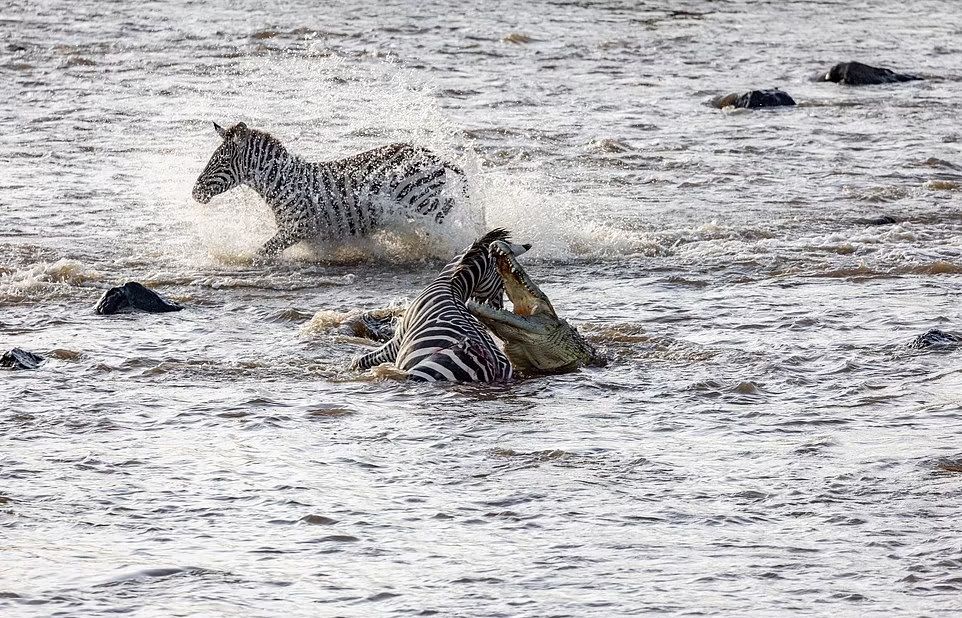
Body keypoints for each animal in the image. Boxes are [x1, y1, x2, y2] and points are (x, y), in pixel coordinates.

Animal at [190, 121, 464, 256]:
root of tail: (432, 154)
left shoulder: (297, 228)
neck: (281, 182)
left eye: (222, 161)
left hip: (423, 203)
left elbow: (261, 254)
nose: (195, 192)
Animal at [350, 227, 532, 380]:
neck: (450, 284)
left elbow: (364, 359)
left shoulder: (397, 342)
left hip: (426, 370)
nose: (499, 306)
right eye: (502, 283)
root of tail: (494, 368)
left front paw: (353, 367)